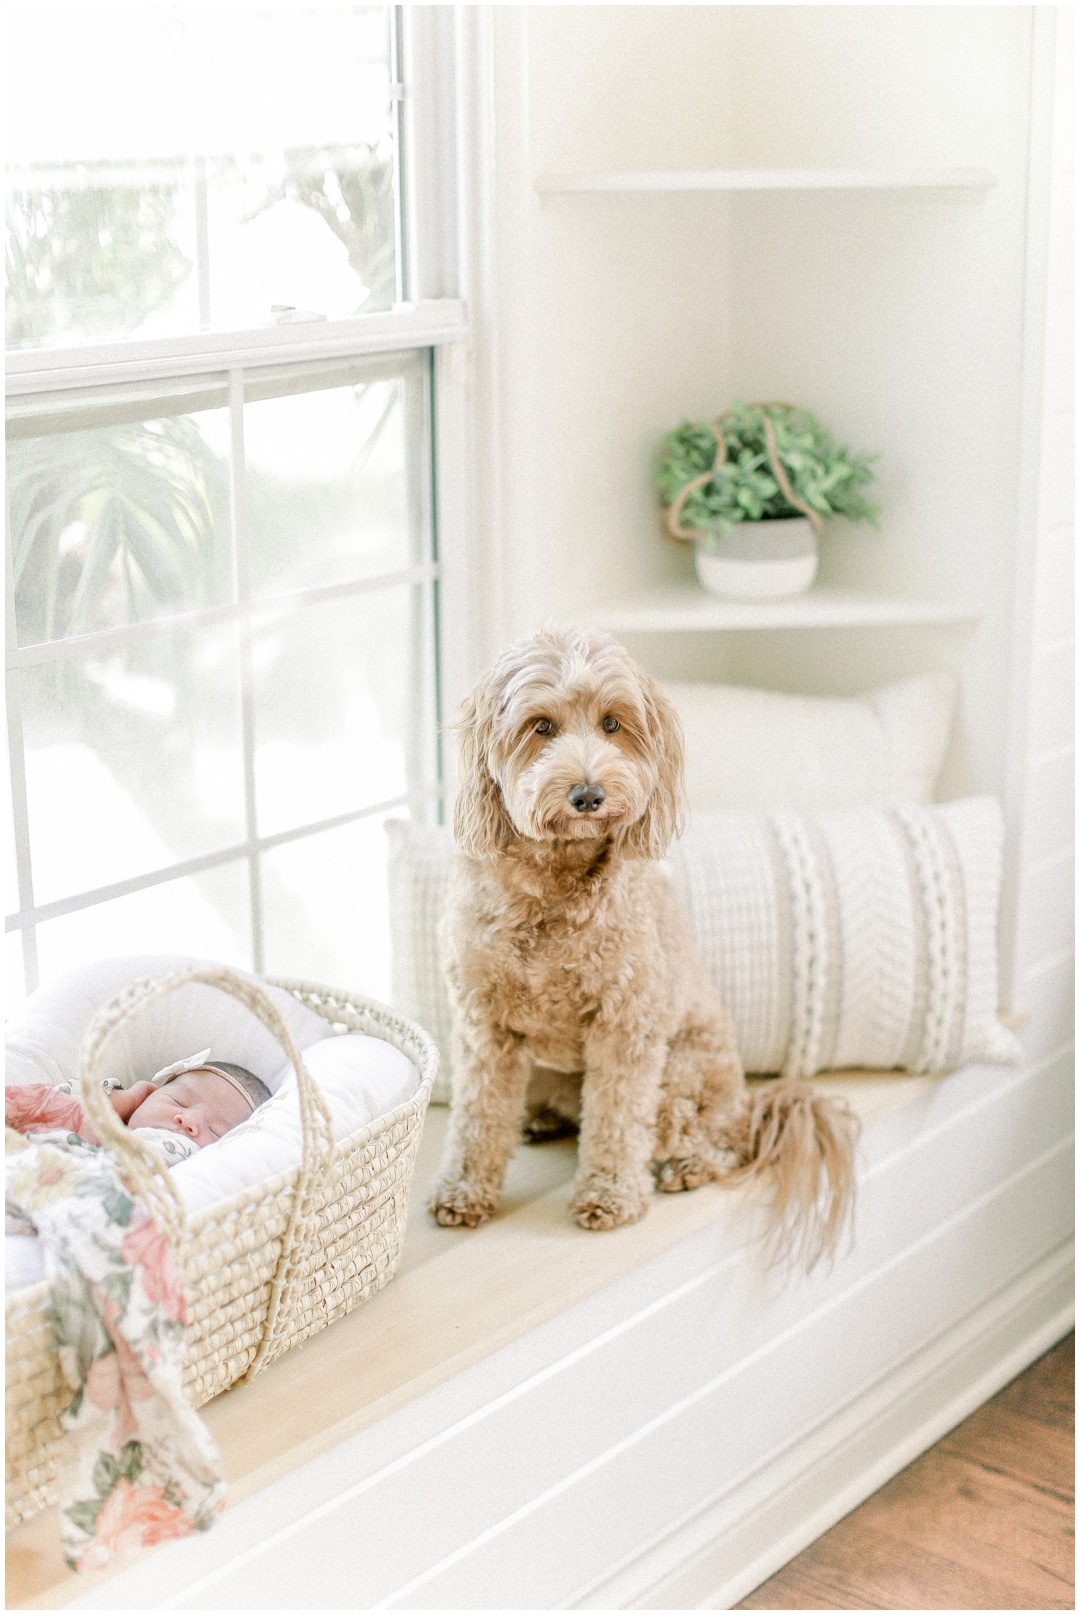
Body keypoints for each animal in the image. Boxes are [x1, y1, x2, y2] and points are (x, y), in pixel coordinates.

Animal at [426, 620, 852, 1259]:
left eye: (612, 723)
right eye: (540, 726)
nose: (588, 795)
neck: (554, 886)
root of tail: (748, 1100)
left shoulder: (626, 1024)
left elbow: (618, 1119)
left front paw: (610, 1195)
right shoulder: (485, 1026)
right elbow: (477, 1118)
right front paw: (462, 1189)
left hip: (682, 1072)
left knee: (714, 1141)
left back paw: (687, 1165)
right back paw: (539, 1119)